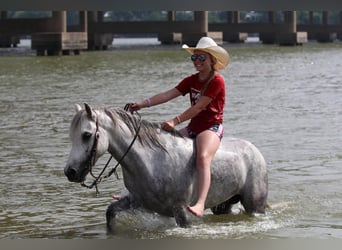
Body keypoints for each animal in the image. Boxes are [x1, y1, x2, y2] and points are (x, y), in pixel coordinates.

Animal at [64, 102, 268, 229]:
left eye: (87, 135)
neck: (151, 161)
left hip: (255, 206)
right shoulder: (137, 201)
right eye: (72, 135)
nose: (70, 172)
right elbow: (110, 213)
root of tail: (255, 151)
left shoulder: (181, 211)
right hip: (223, 204)